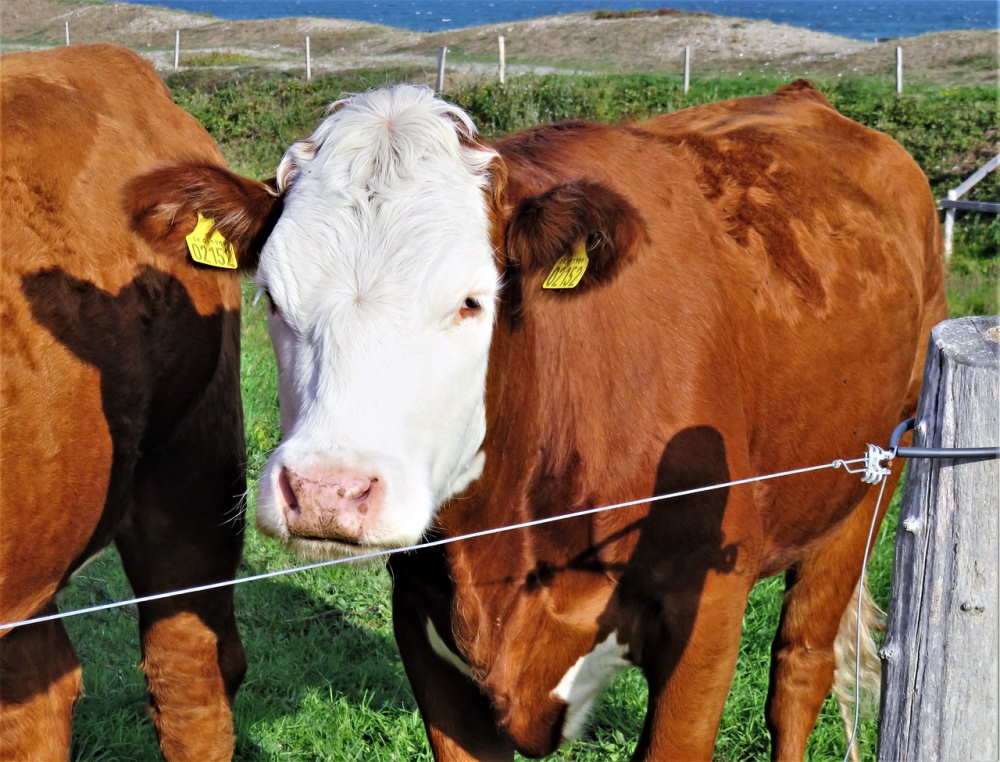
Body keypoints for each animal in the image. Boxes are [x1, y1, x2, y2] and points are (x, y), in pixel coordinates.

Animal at [131, 77, 944, 756]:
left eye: (470, 301)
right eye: (271, 295)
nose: (328, 491)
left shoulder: (707, 614)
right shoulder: (425, 626)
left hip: (865, 489)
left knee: (800, 669)